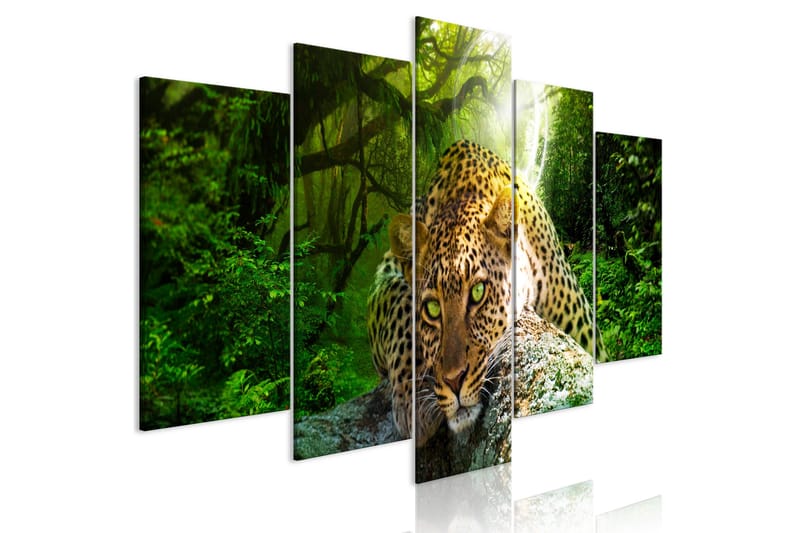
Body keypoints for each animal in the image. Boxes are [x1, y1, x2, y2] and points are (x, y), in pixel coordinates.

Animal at [368, 139, 602, 446]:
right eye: (432, 308)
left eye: (478, 292)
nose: (454, 380)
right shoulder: (384, 276)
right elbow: (399, 303)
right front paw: (413, 399)